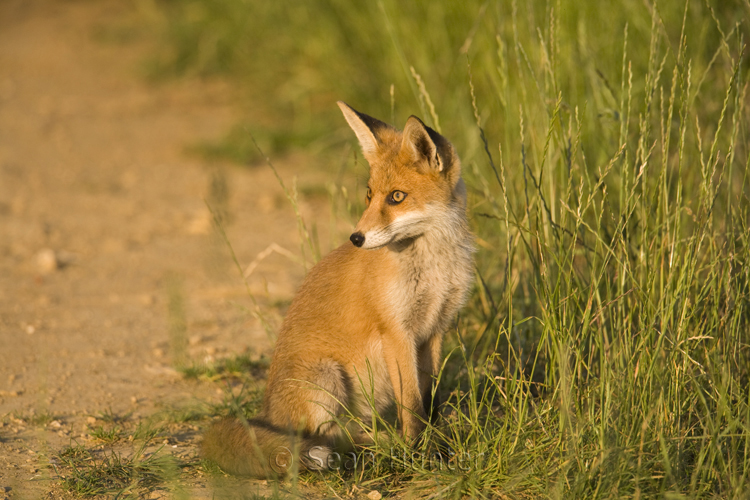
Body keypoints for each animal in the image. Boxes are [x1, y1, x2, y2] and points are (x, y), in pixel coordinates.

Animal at [203, 100, 472, 476]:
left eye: (397, 197)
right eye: (369, 195)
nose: (356, 238)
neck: (433, 267)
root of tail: (267, 413)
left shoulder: (435, 329)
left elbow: (429, 399)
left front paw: (436, 442)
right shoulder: (396, 332)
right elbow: (412, 406)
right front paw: (418, 452)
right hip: (325, 378)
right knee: (326, 434)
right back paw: (377, 445)